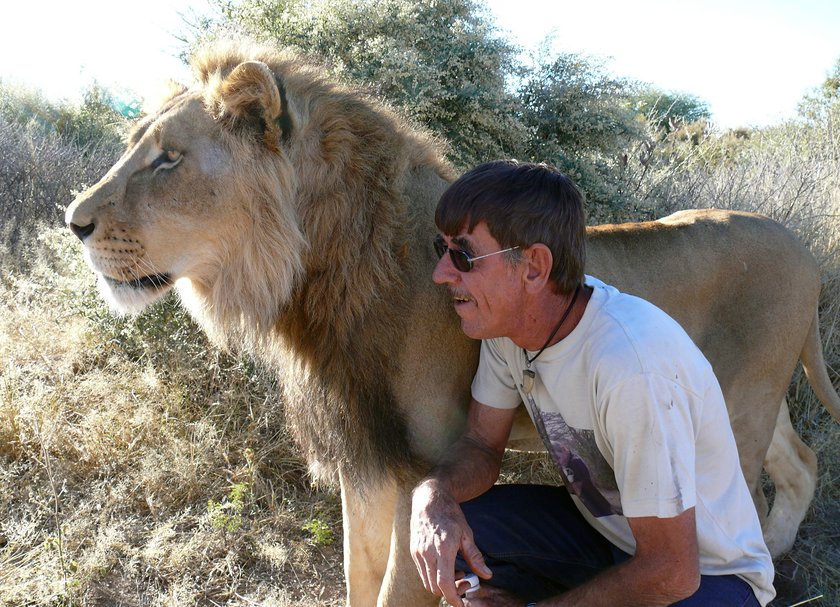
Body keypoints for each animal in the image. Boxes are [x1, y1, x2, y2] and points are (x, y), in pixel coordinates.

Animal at [67, 41, 840, 604]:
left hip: (741, 406)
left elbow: (395, 586)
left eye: (168, 158)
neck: (321, 287)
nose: (72, 221)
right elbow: (357, 576)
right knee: (800, 465)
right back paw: (777, 558)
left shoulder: (422, 465)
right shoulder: (368, 456)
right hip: (754, 398)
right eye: (136, 145)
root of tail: (803, 247)